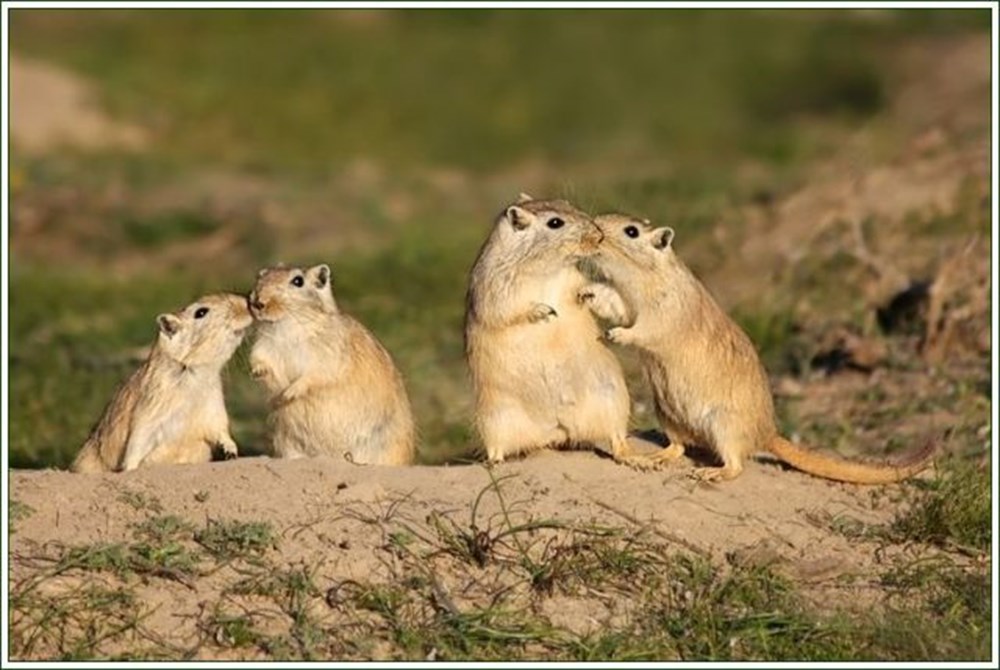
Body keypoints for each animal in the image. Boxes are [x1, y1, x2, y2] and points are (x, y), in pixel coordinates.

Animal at [71, 292, 250, 472]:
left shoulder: (214, 411)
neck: (193, 372)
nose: (246, 304)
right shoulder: (149, 418)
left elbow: (222, 432)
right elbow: (136, 447)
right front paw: (130, 469)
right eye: (201, 312)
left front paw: (231, 452)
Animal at [248, 264, 416, 468]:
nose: (257, 302)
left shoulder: (328, 359)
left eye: (298, 281)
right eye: (260, 276)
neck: (288, 326)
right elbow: (261, 362)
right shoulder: (263, 348)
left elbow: (311, 377)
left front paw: (288, 394)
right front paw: (258, 374)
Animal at [462, 194, 648, 468]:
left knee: (617, 441)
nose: (599, 235)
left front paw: (585, 296)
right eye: (555, 222)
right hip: (494, 418)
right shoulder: (493, 293)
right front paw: (544, 312)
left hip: (612, 397)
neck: (544, 269)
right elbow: (508, 312)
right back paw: (494, 463)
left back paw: (639, 460)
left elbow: (582, 292)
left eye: (567, 203)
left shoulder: (573, 279)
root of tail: (555, 429)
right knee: (498, 448)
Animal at [584, 215, 936, 484]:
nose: (596, 225)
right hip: (667, 413)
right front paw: (588, 294)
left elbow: (641, 331)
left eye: (631, 231)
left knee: (736, 465)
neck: (643, 276)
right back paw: (657, 457)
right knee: (679, 448)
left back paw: (710, 474)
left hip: (723, 425)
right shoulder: (626, 304)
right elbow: (612, 305)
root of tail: (768, 434)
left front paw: (614, 334)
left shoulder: (663, 314)